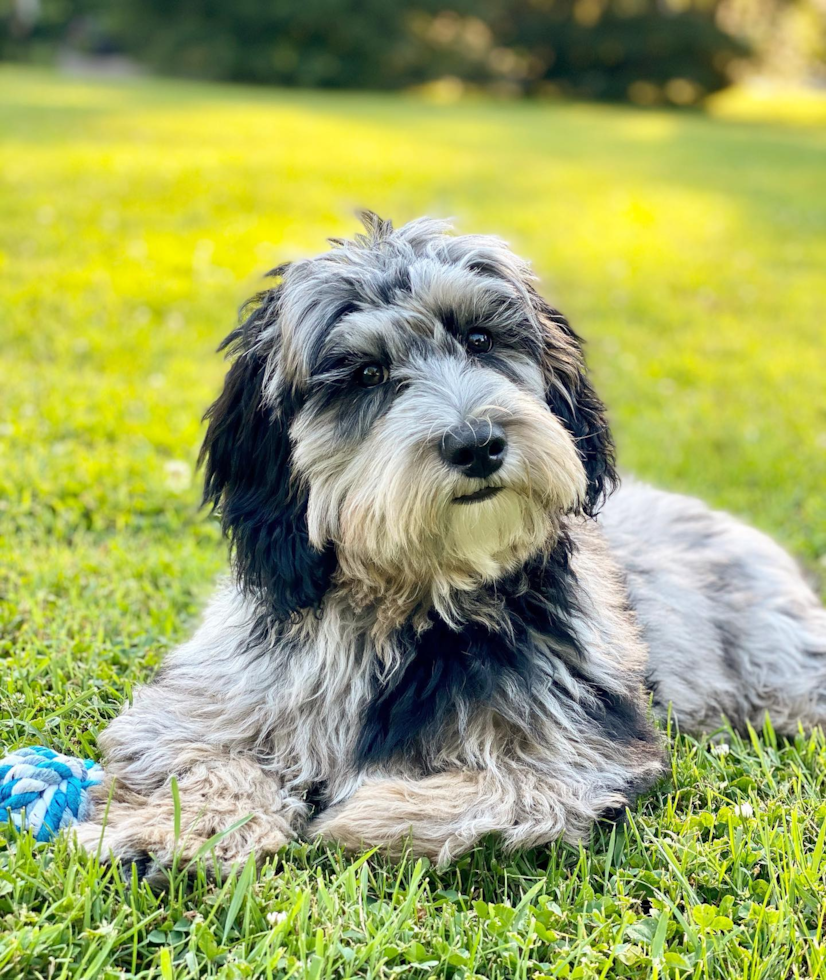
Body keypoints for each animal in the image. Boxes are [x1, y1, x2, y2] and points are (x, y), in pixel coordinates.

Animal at [74, 212, 820, 872]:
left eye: (481, 339)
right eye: (367, 376)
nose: (478, 443)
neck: (416, 600)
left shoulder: (582, 744)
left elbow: (505, 787)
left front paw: (358, 812)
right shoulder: (214, 696)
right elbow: (195, 753)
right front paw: (177, 829)